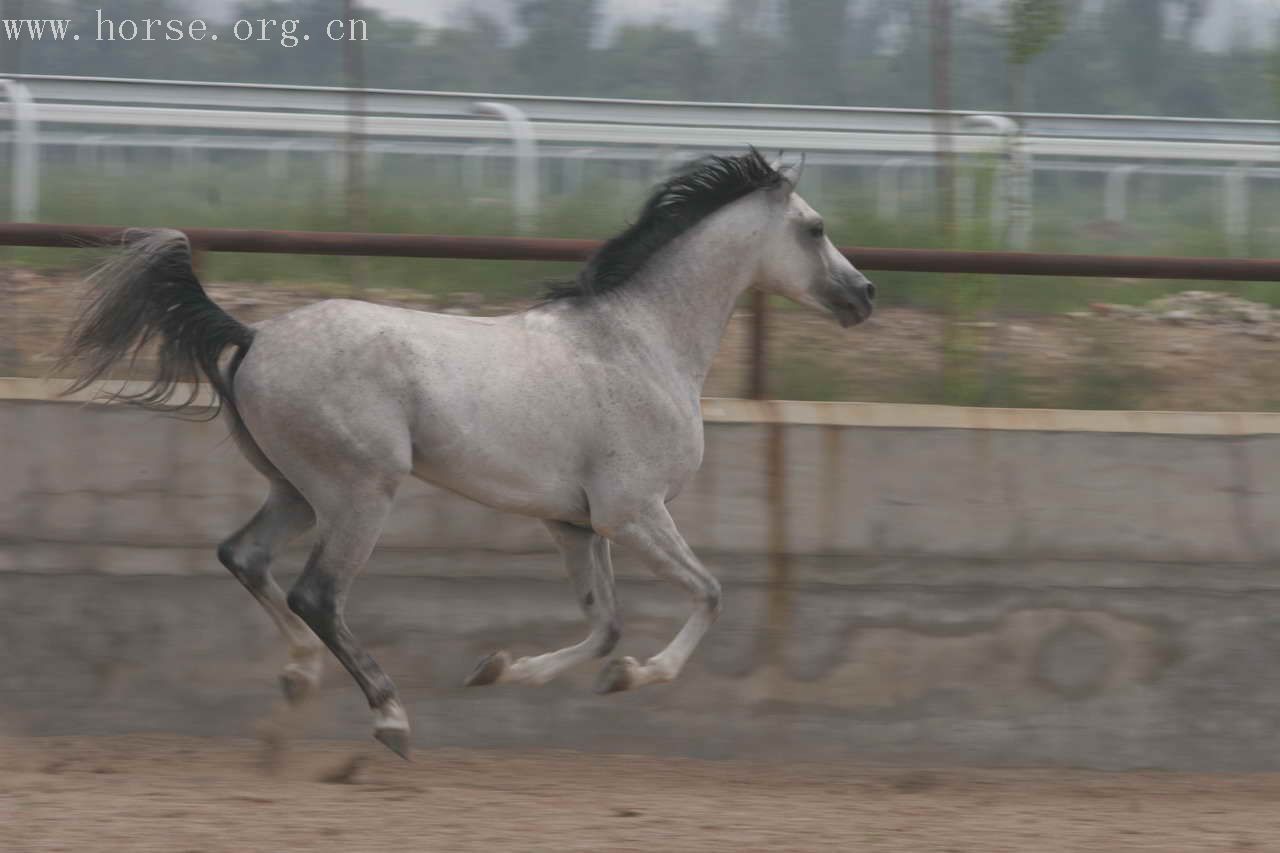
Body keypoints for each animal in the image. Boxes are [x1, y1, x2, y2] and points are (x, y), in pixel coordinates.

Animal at [62, 149, 880, 753]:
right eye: (815, 228)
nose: (864, 295)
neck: (641, 342)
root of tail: (255, 333)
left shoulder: (573, 523)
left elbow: (604, 625)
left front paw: (498, 670)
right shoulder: (633, 512)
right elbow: (708, 594)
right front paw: (630, 678)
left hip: (295, 491)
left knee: (244, 556)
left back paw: (299, 676)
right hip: (361, 492)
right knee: (315, 593)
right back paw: (390, 718)